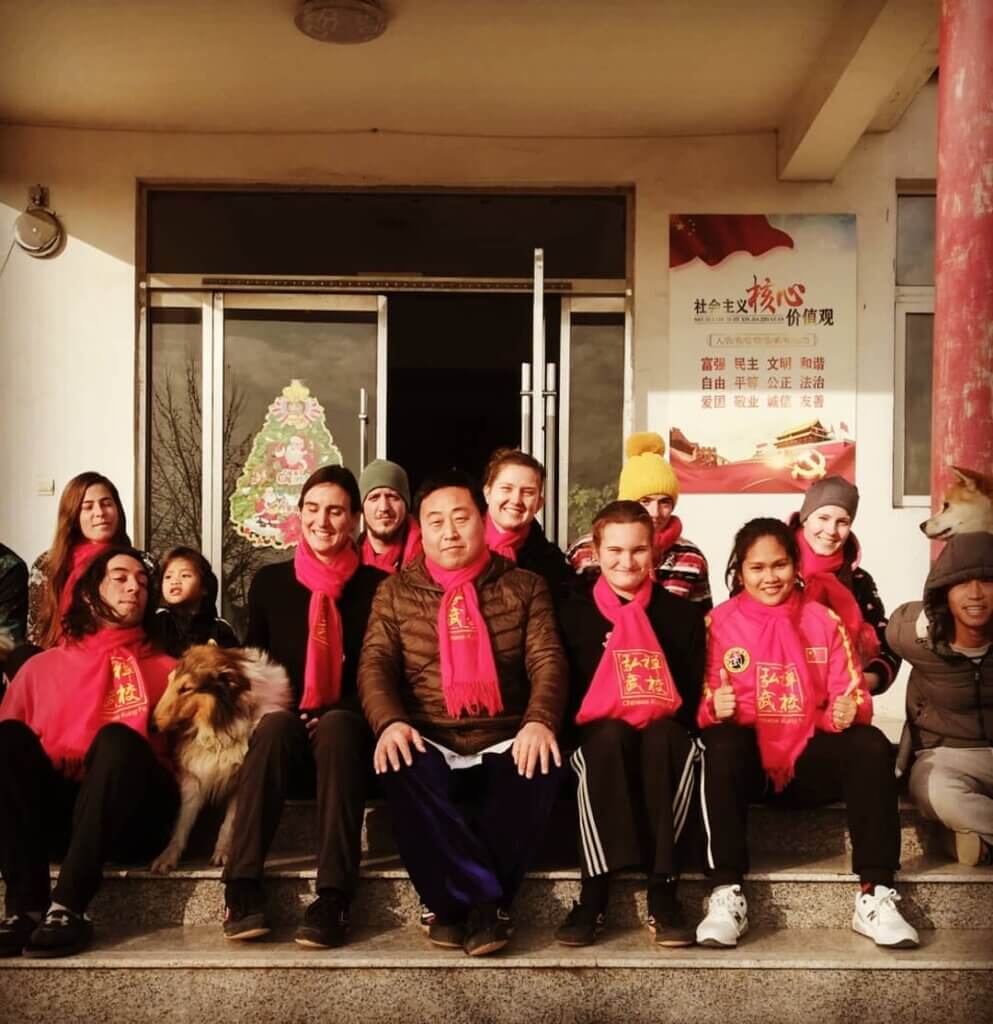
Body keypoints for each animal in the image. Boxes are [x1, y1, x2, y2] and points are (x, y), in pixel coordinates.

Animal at [149, 638, 290, 872]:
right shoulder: (193, 776)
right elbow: (182, 822)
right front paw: (166, 857)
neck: (219, 729)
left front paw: (222, 854)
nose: (149, 726)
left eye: (186, 688)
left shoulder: (240, 778)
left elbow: (229, 823)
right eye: (170, 681)